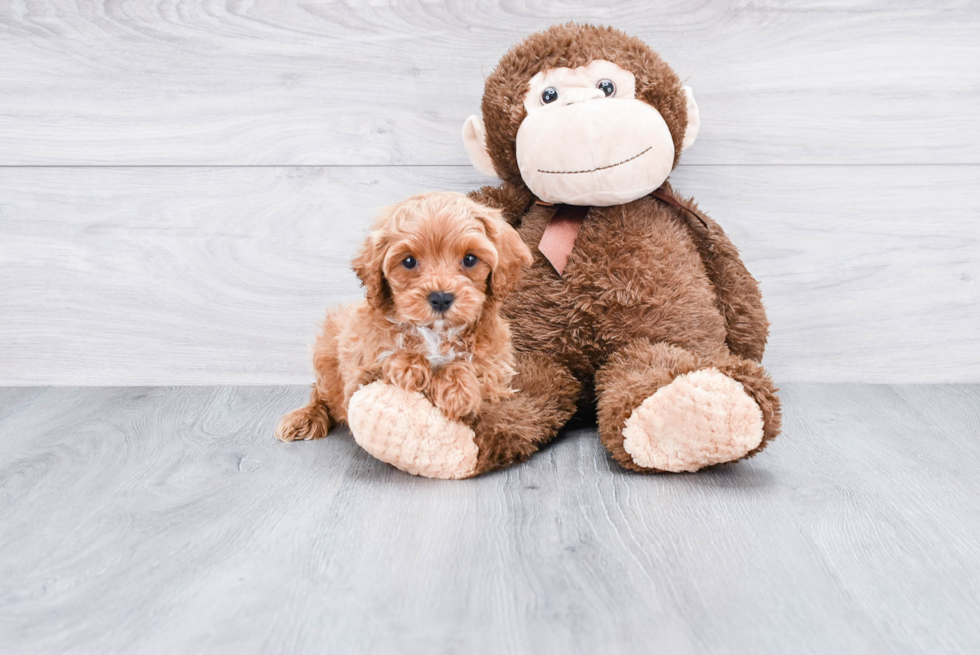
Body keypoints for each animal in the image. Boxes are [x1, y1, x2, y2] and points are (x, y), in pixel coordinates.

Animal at [276, 192, 532, 452]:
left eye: (470, 259)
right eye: (409, 262)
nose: (441, 298)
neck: (436, 333)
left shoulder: (496, 377)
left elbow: (467, 369)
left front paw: (458, 390)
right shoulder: (359, 376)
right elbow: (390, 360)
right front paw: (408, 367)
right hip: (326, 352)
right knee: (320, 392)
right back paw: (305, 417)